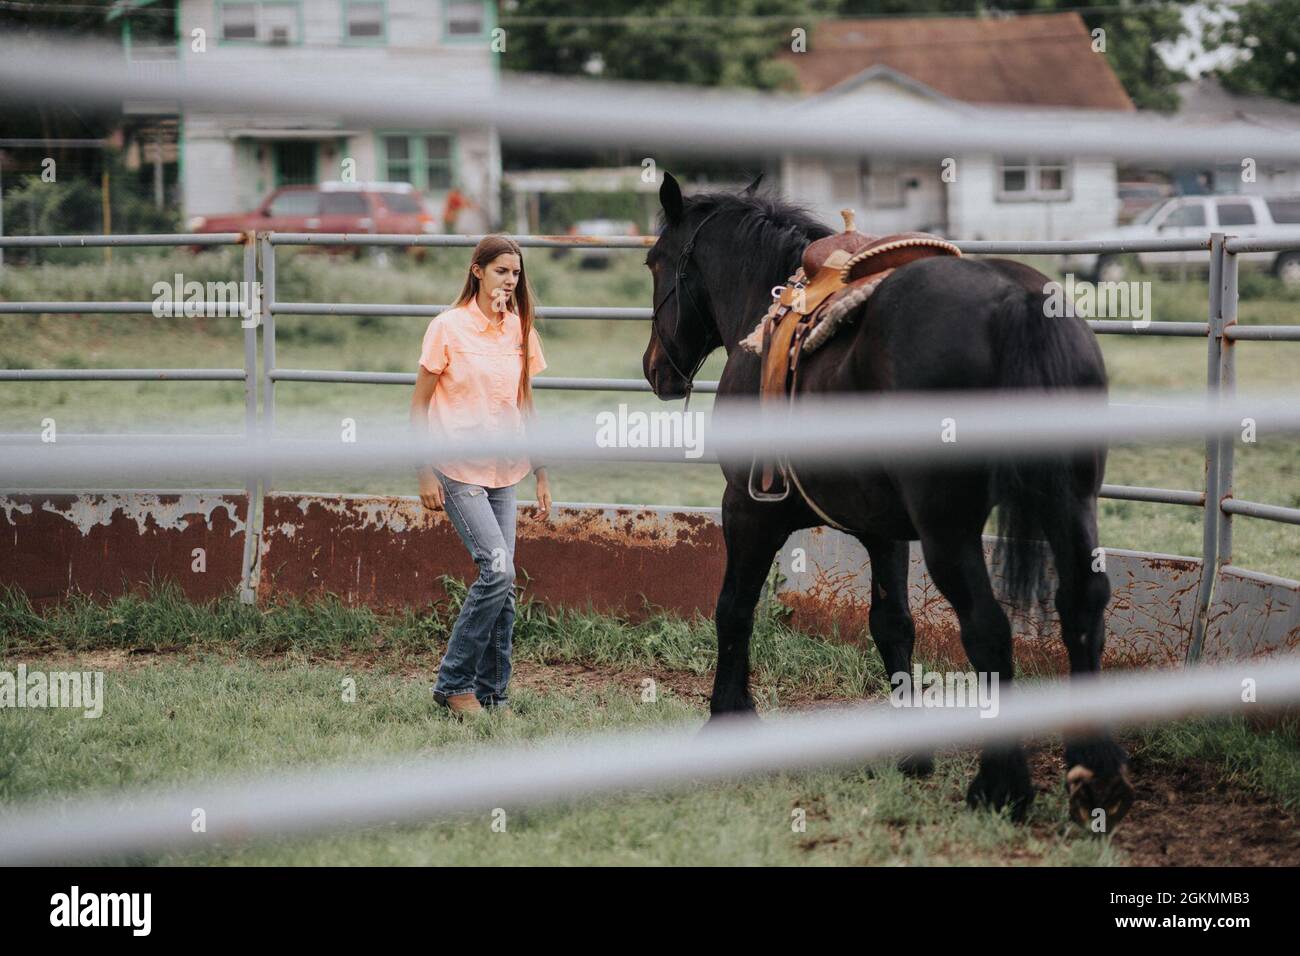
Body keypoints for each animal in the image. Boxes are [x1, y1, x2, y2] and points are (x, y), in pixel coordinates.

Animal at [644, 174, 1133, 832]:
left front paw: (728, 715)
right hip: (1069, 505)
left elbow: (734, 608)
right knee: (1082, 605)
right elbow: (892, 625)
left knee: (988, 628)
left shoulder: (748, 511)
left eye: (655, 262)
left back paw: (1000, 785)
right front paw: (909, 753)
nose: (656, 370)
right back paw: (1094, 775)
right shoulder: (885, 533)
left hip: (949, 530)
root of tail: (1018, 301)